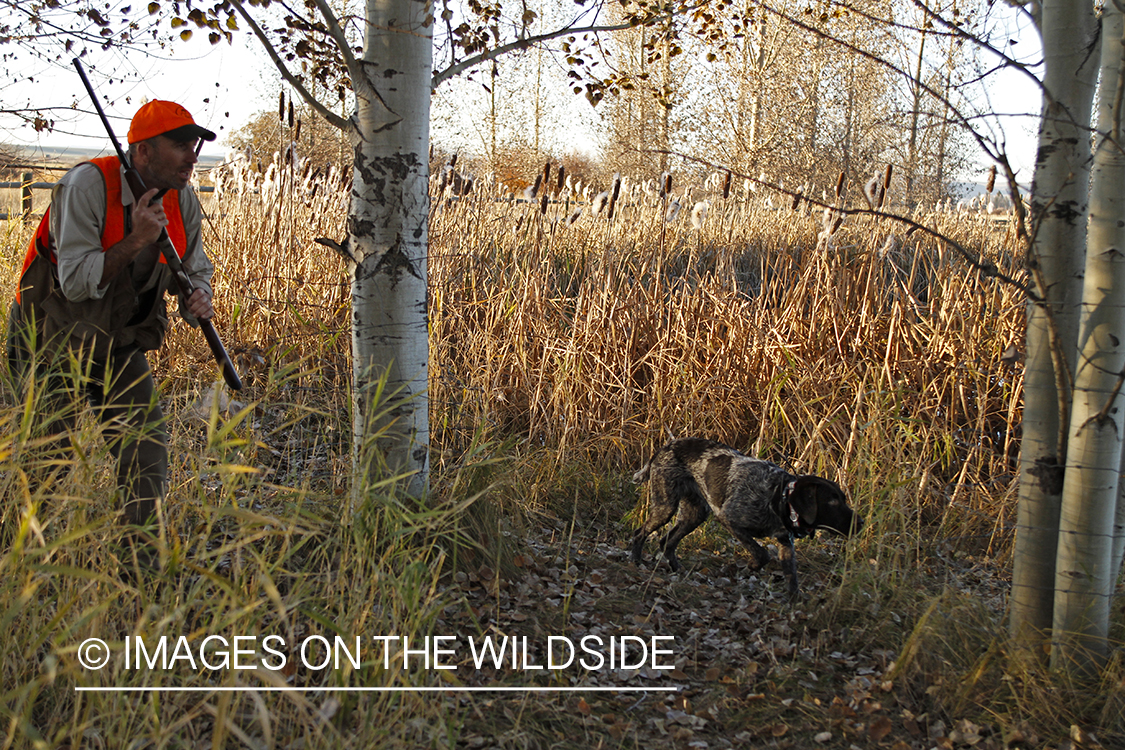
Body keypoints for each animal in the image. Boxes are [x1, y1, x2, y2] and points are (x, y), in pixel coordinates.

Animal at [634, 436, 859, 593]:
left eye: (843, 499)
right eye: (832, 502)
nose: (861, 522)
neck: (777, 496)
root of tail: (665, 447)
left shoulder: (786, 544)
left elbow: (792, 578)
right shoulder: (728, 519)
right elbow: (761, 553)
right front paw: (750, 567)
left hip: (695, 514)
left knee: (667, 541)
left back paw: (676, 568)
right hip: (665, 506)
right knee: (640, 533)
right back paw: (636, 561)